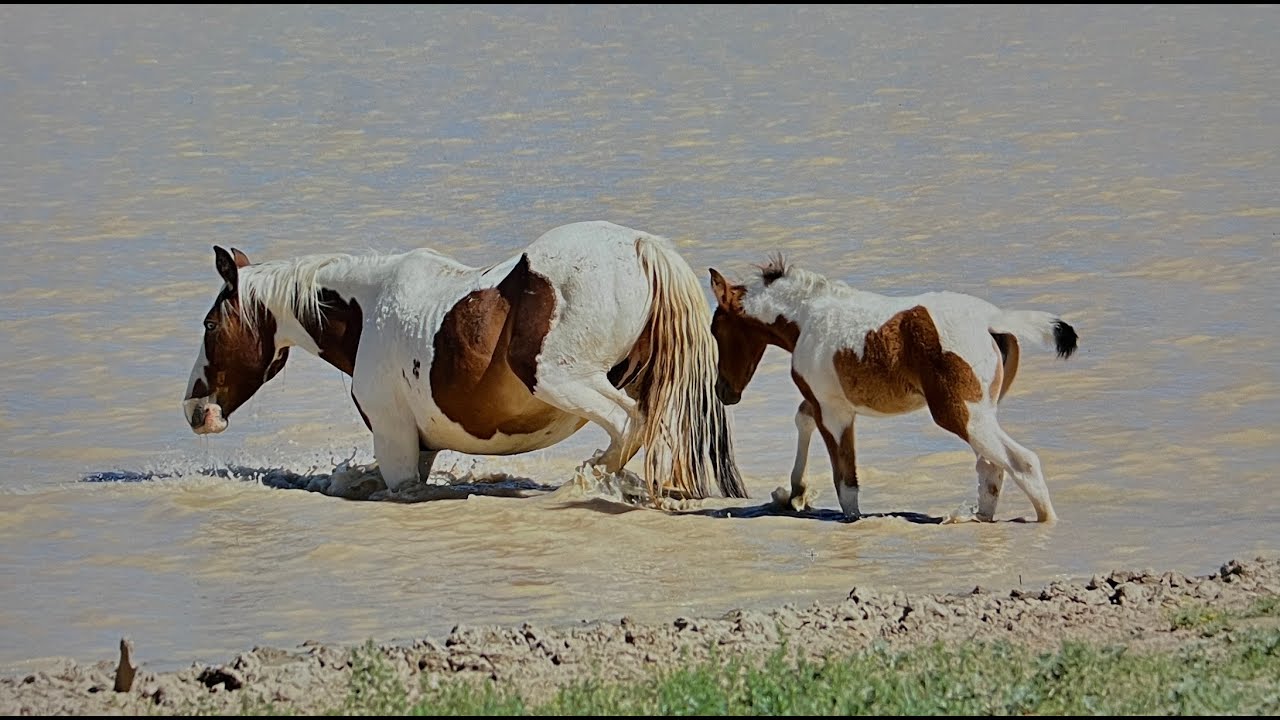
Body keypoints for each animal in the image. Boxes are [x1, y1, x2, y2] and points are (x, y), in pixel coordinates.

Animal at [182, 220, 748, 504]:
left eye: (209, 325)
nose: (194, 410)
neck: (370, 307)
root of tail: (638, 245)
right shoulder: (422, 446)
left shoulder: (394, 441)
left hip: (563, 379)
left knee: (629, 426)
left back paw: (583, 485)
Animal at [707, 254, 1078, 524]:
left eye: (716, 329)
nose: (723, 390)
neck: (808, 317)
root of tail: (993, 320)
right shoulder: (825, 401)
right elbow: (803, 419)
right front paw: (794, 493)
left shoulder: (834, 412)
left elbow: (846, 481)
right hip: (983, 412)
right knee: (991, 468)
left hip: (961, 414)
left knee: (1022, 463)